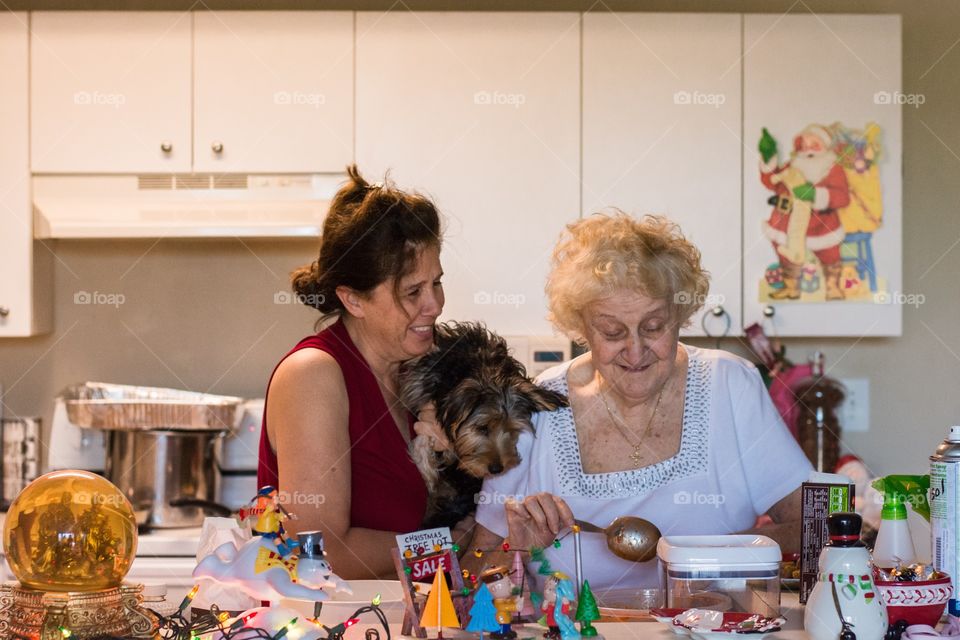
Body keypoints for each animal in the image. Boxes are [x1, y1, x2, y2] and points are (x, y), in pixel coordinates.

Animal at [400, 322, 568, 528]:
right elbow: (422, 441)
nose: (497, 470)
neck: (481, 370)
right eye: (482, 428)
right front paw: (427, 473)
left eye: (512, 431)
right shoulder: (422, 382)